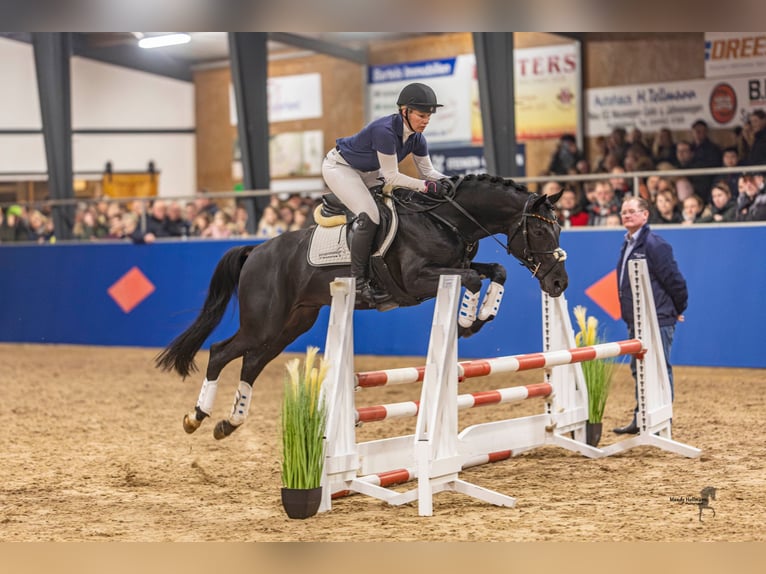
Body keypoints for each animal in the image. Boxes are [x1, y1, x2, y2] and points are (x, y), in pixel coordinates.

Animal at [156, 174, 568, 440]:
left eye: (559, 229)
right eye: (541, 230)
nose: (558, 283)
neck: (445, 220)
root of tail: (255, 250)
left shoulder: (457, 266)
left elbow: (496, 271)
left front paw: (482, 316)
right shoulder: (417, 280)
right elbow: (472, 279)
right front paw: (467, 321)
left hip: (292, 324)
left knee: (252, 362)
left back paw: (230, 423)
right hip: (264, 322)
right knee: (220, 351)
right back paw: (197, 416)